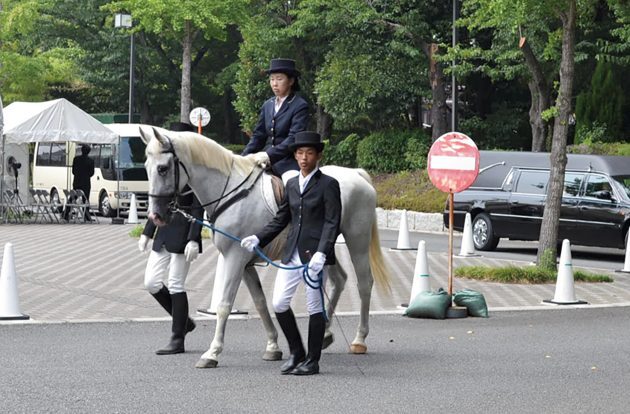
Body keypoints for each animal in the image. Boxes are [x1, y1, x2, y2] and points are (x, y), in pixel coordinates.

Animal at [141, 128, 392, 368]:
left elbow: (224, 305)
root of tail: (357, 174)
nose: (156, 216)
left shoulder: (234, 258)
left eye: (162, 168)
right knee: (339, 279)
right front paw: (273, 346)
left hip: (356, 241)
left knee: (364, 284)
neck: (229, 191)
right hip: (322, 249)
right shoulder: (245, 262)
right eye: (146, 167)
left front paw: (212, 353)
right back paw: (325, 333)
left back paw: (359, 340)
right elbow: (260, 303)